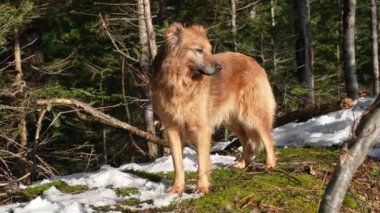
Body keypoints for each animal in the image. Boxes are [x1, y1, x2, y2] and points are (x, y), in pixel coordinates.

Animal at [151, 22, 276, 193]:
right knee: (247, 142)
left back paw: (270, 164)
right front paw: (177, 188)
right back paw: (242, 164)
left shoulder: (202, 128)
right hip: (232, 121)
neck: (181, 83)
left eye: (210, 49)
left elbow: (202, 161)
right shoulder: (172, 129)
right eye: (199, 50)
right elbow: (177, 164)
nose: (219, 68)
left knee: (268, 139)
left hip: (252, 115)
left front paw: (202, 187)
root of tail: (254, 61)